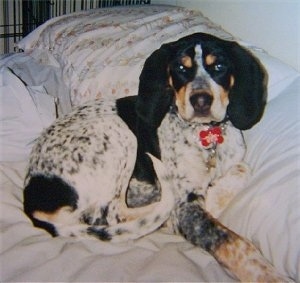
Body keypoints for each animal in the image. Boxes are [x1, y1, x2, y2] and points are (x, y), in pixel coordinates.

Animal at [23, 32, 290, 282]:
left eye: (219, 66)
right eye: (181, 68)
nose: (201, 101)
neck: (206, 135)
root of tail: (32, 200)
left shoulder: (234, 163)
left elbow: (242, 170)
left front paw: (213, 194)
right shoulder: (187, 206)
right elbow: (233, 242)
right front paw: (267, 274)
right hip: (120, 133)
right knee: (113, 213)